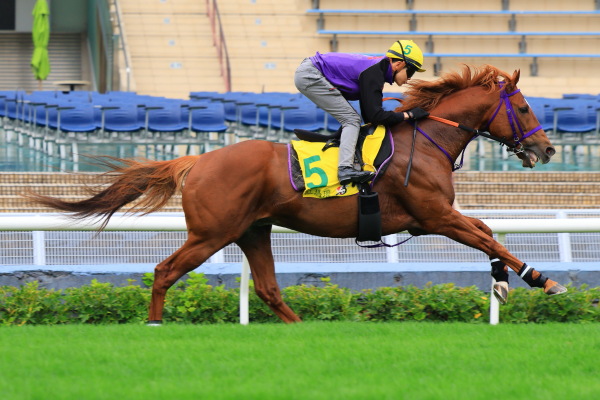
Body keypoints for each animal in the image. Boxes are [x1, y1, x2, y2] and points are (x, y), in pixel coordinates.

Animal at [27, 65, 567, 324]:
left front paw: (503, 280)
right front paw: (541, 280)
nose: (547, 147)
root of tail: (197, 161)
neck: (427, 136)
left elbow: (487, 232)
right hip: (211, 233)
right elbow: (488, 236)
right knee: (164, 271)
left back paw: (303, 328)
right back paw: (155, 325)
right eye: (522, 106)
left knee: (267, 288)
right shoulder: (433, 216)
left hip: (252, 231)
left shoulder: (431, 217)